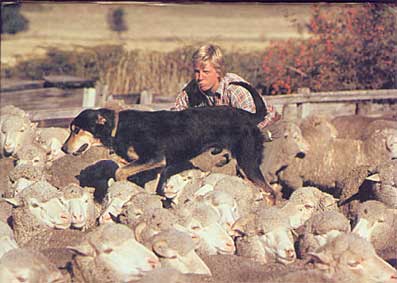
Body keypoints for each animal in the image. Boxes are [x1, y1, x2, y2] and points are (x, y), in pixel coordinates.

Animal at [62, 82, 276, 204]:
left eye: (77, 130)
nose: (63, 148)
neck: (117, 127)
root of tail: (248, 115)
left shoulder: (154, 158)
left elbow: (119, 172)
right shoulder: (157, 166)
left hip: (247, 162)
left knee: (272, 192)